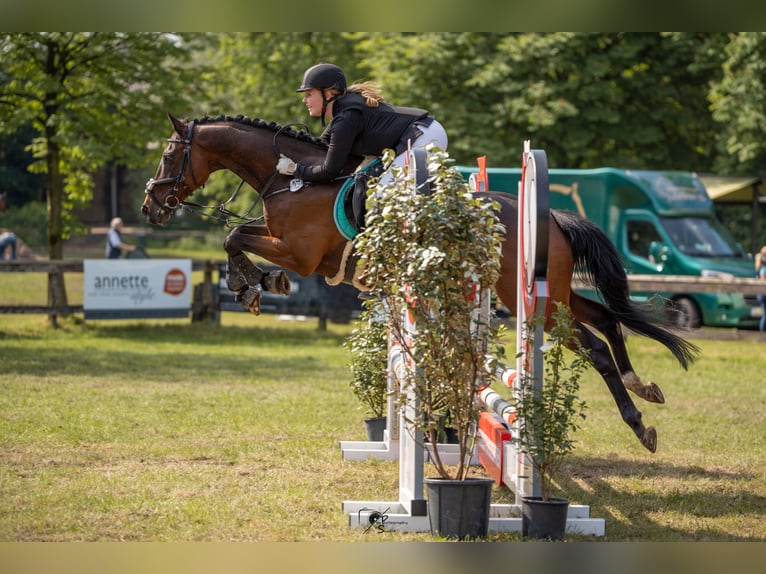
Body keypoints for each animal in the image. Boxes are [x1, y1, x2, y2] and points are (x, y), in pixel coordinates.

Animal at [142, 112, 704, 454]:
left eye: (169, 155)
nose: (150, 206)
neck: (295, 179)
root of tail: (550, 218)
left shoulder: (301, 255)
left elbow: (235, 235)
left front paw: (257, 285)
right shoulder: (286, 243)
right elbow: (235, 236)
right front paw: (252, 285)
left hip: (528, 298)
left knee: (595, 346)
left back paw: (639, 424)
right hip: (556, 293)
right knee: (608, 319)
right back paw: (644, 386)